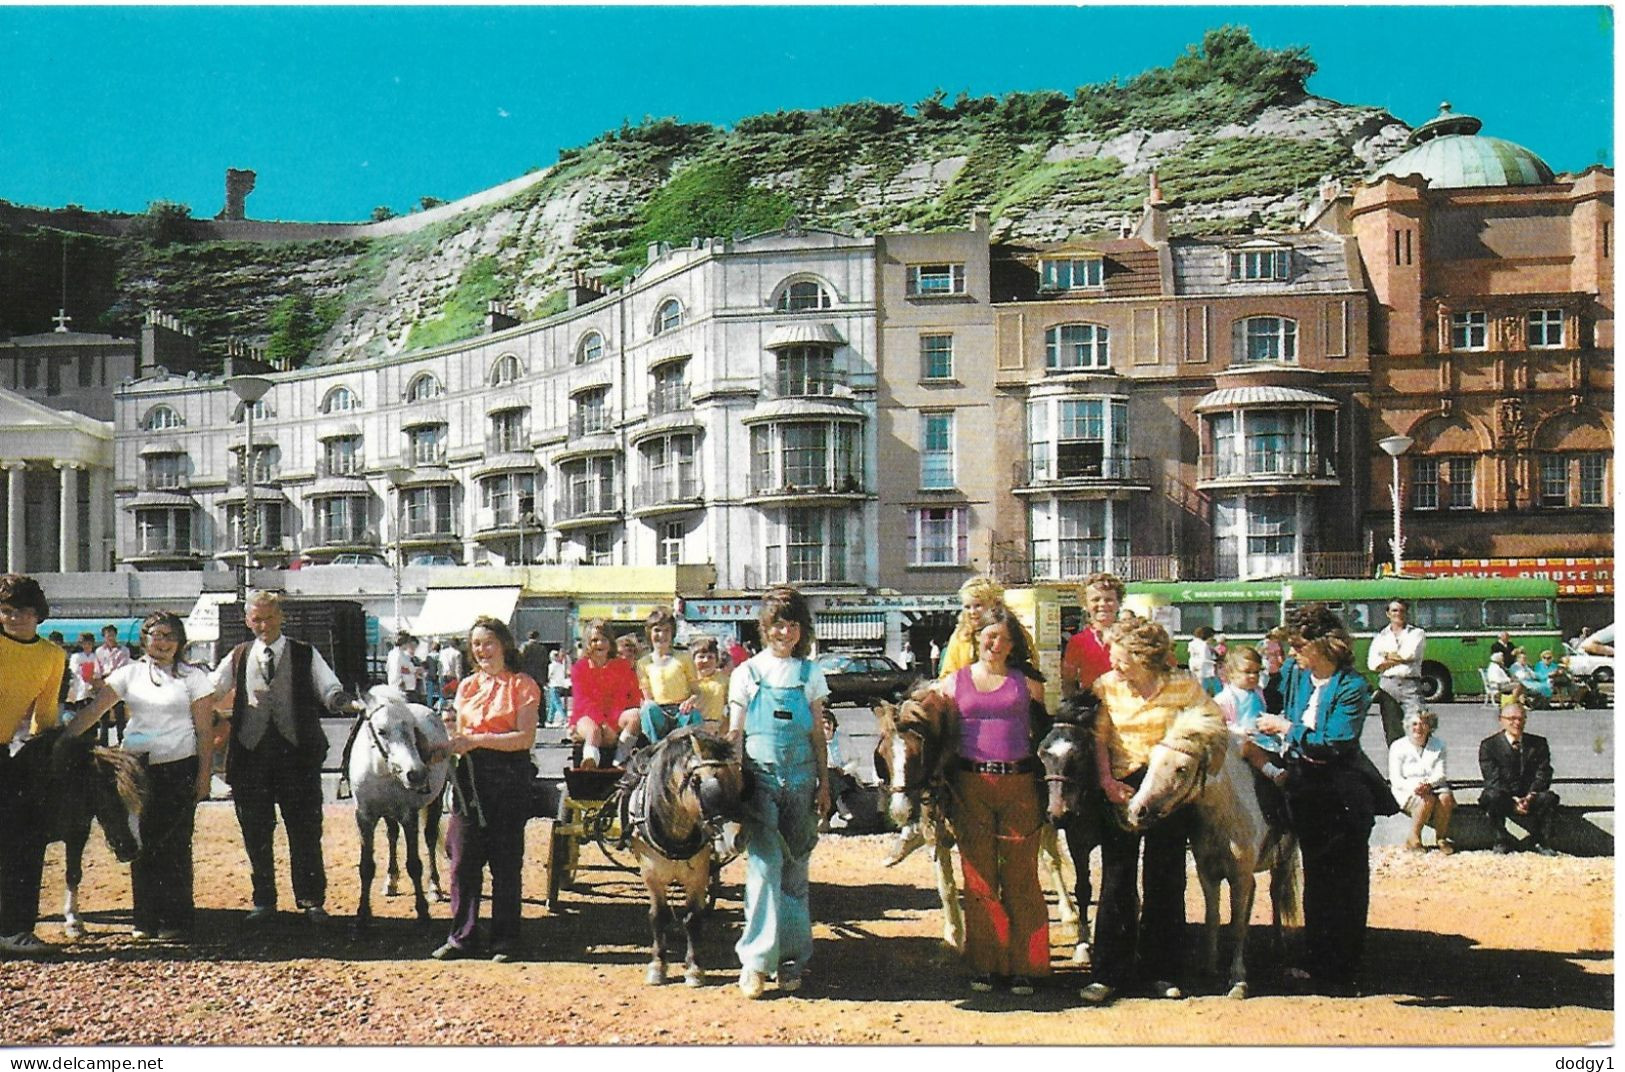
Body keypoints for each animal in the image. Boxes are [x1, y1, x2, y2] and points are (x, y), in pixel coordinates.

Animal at [15, 727, 146, 935]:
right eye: (111, 800)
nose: (132, 850)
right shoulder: (33, 842)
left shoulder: (77, 834)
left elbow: (74, 874)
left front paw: (73, 921)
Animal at [349, 685, 451, 929]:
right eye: (382, 730)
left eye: (412, 728)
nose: (416, 774)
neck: (380, 771)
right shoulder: (364, 817)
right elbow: (366, 867)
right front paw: (362, 916)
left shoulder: (409, 815)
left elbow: (414, 864)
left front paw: (423, 913)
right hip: (388, 813)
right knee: (392, 835)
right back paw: (390, 881)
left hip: (436, 800)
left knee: (430, 837)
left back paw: (435, 887)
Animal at [1124, 708, 1300, 1000]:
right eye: (1152, 761)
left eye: (1182, 768)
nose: (1136, 810)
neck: (1225, 810)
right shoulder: (1208, 874)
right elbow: (1213, 918)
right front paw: (1208, 966)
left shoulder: (1240, 876)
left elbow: (1237, 925)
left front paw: (1238, 980)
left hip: (1283, 859)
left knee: (1276, 894)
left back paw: (1279, 945)